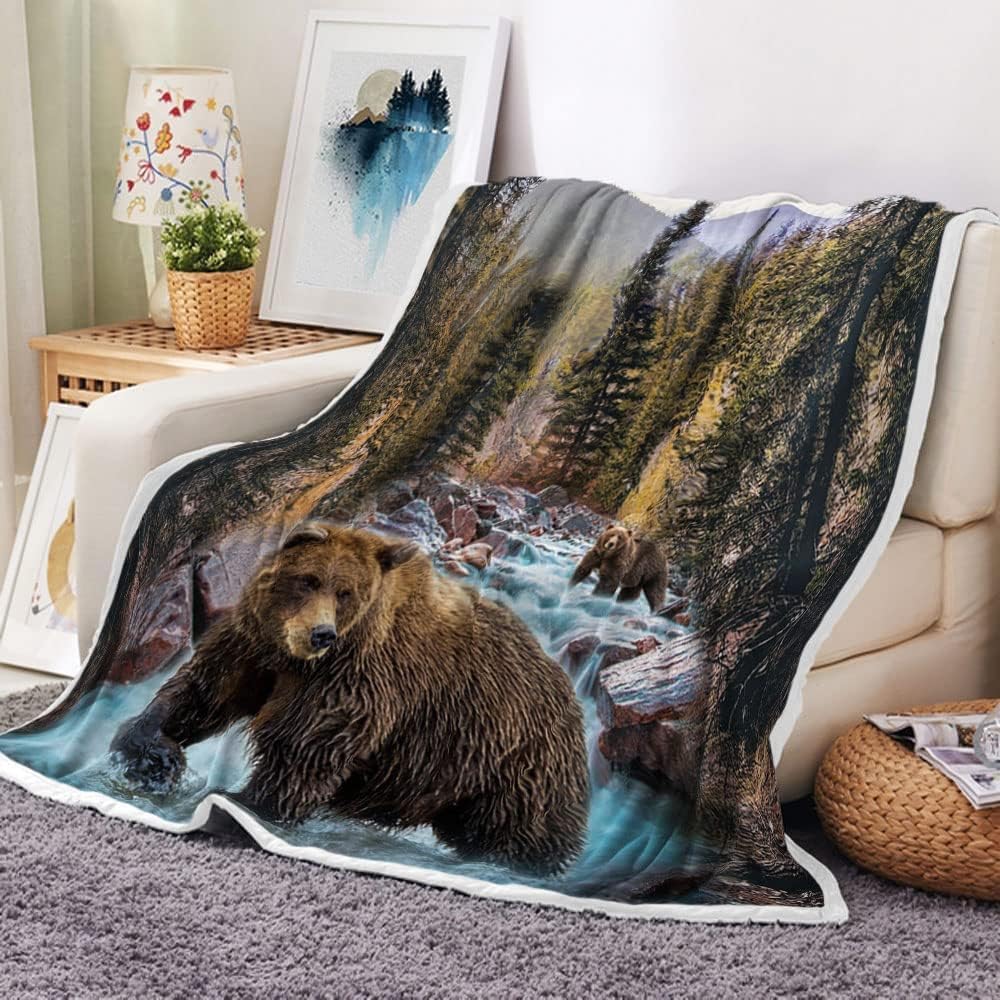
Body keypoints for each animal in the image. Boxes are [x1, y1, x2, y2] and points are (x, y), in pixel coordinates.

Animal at [111, 521, 589, 874]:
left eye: (345, 592)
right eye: (308, 580)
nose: (321, 634)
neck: (294, 659)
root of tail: (571, 696)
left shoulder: (356, 678)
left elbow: (305, 748)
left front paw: (246, 802)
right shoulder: (253, 647)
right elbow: (203, 692)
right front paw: (153, 754)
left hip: (517, 766)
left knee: (523, 834)